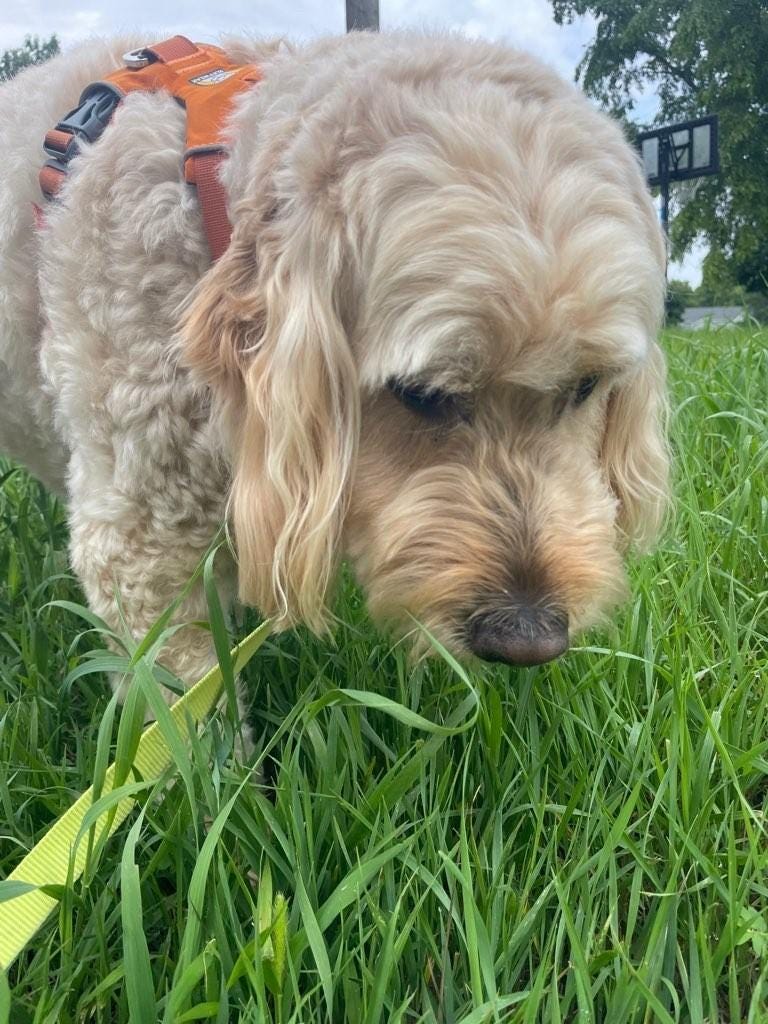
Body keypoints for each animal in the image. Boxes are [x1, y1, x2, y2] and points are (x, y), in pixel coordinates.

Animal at [0, 28, 667, 696]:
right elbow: (180, 702)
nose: (529, 639)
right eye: (421, 393)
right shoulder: (144, 546)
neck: (206, 205)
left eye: (586, 386)